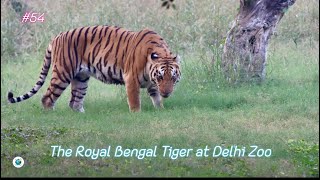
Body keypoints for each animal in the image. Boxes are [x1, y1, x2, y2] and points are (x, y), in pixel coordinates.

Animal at [7, 25, 181, 112]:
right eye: (160, 77)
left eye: (172, 77)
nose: (167, 93)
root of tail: (57, 36)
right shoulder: (131, 78)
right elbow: (134, 100)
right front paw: (136, 114)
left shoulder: (151, 83)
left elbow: (156, 98)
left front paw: (160, 110)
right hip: (63, 73)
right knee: (47, 98)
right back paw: (51, 114)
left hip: (81, 78)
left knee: (74, 102)